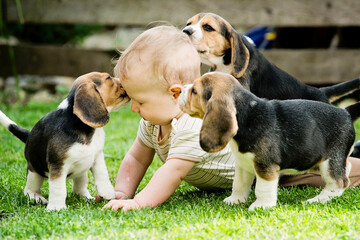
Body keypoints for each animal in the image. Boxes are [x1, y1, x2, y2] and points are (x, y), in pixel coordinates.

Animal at [0, 71, 129, 210]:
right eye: (108, 77)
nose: (123, 81)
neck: (84, 127)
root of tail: (29, 137)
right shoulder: (58, 166)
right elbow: (59, 189)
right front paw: (56, 208)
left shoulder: (97, 156)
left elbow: (102, 174)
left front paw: (107, 192)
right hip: (34, 170)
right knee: (30, 188)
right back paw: (36, 197)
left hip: (82, 171)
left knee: (79, 187)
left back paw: (86, 197)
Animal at [179, 71, 360, 210]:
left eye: (194, 91)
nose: (179, 90)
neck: (247, 116)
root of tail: (346, 112)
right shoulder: (243, 164)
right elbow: (239, 184)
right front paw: (234, 200)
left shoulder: (265, 166)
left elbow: (262, 188)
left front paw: (261, 205)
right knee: (346, 168)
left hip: (329, 162)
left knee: (339, 182)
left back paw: (319, 199)